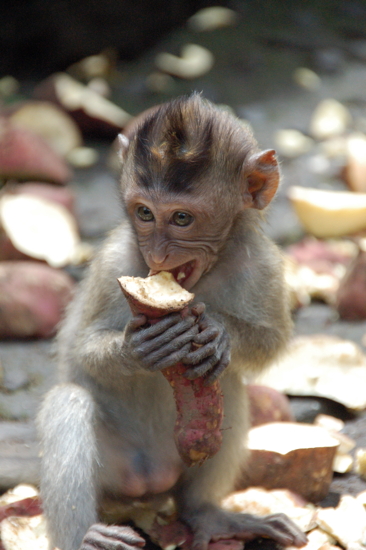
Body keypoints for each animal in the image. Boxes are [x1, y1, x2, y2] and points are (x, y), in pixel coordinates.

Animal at [38, 95, 306, 550]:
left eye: (182, 218)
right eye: (144, 213)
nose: (158, 254)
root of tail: (149, 481)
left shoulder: (264, 263)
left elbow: (272, 341)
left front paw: (217, 332)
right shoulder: (114, 260)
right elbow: (83, 347)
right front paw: (136, 349)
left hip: (183, 453)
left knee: (227, 383)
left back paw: (207, 515)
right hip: (114, 469)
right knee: (69, 402)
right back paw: (85, 537)